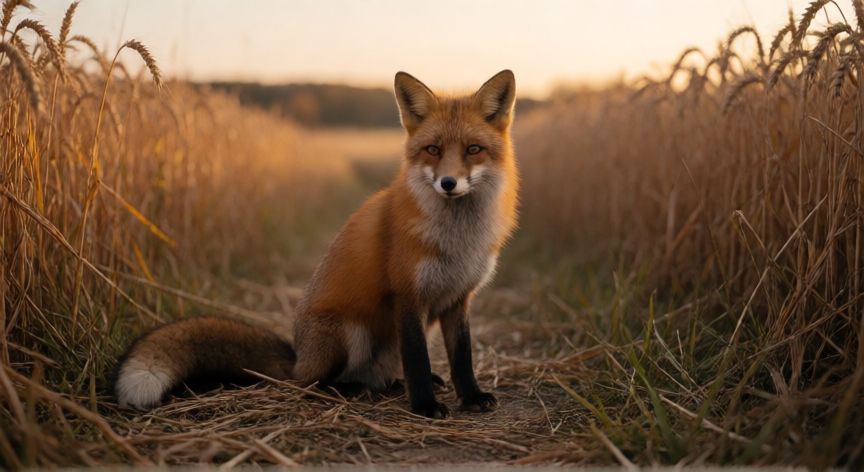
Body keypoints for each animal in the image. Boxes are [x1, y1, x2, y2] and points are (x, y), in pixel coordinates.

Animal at [114, 70, 519, 418]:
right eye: (433, 150)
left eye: (473, 149)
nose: (448, 183)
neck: (458, 241)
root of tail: (298, 358)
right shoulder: (408, 295)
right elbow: (418, 360)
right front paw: (425, 406)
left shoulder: (458, 299)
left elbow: (462, 358)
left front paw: (471, 396)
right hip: (349, 333)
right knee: (312, 384)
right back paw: (351, 389)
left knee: (378, 375)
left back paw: (388, 385)